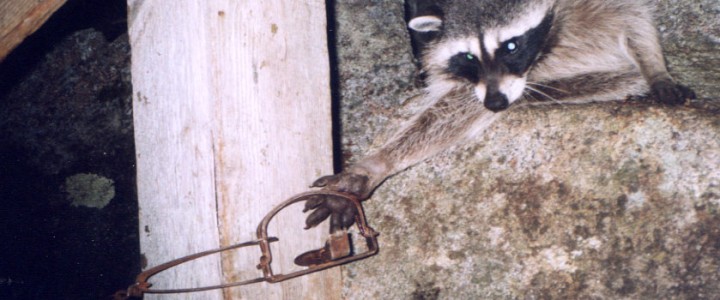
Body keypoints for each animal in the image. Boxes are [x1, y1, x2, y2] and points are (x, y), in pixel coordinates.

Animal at [300, 0, 696, 232]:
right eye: (468, 56)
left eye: (511, 45)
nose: (495, 103)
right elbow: (456, 105)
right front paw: (374, 165)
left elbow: (635, 23)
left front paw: (655, 68)